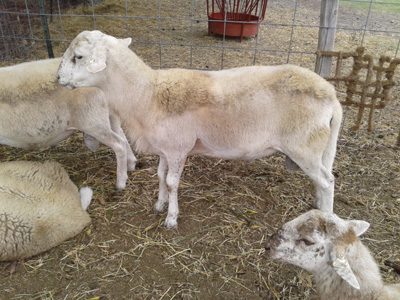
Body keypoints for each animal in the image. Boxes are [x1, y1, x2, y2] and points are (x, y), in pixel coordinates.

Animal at [0, 57, 137, 189]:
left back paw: (120, 183)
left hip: (93, 122)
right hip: (108, 116)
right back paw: (131, 164)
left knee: (119, 144)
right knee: (123, 137)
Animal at [57, 29, 344, 227]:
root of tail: (331, 95)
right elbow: (160, 176)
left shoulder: (178, 149)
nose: (58, 78)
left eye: (78, 57)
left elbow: (172, 182)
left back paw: (328, 217)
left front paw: (171, 218)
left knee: (327, 181)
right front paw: (159, 204)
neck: (147, 94)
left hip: (304, 147)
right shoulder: (165, 148)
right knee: (322, 181)